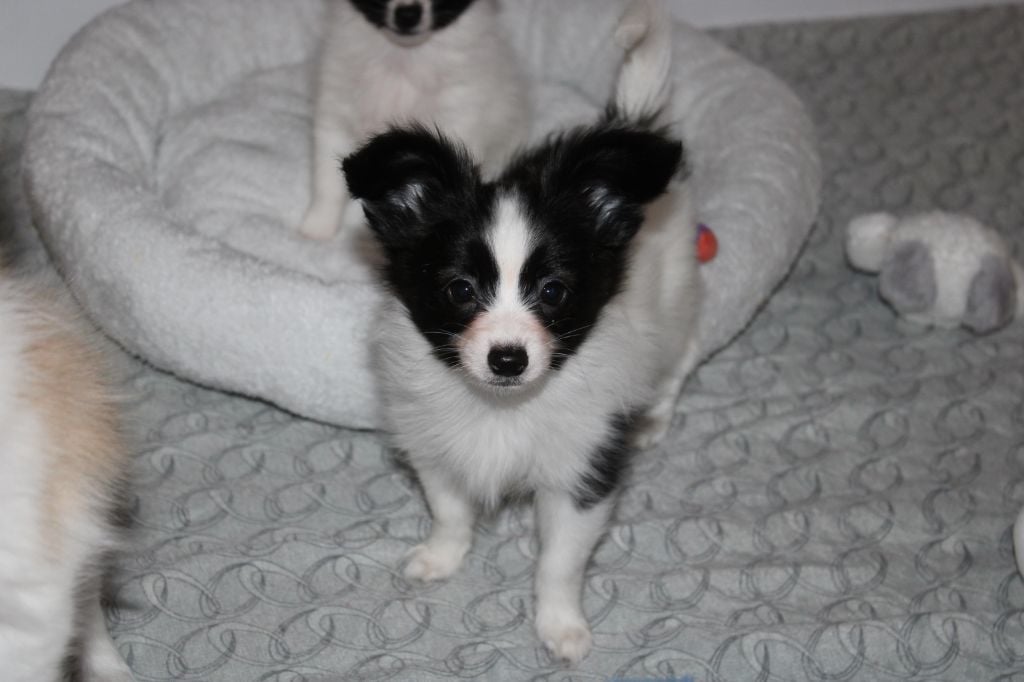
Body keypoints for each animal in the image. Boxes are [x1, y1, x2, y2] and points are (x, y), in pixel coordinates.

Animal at [298, 0, 529, 240]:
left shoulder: (458, 115)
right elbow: (327, 180)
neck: (403, 57)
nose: (408, 14)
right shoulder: (334, 113)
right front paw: (318, 226)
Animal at [343, 0, 698, 664]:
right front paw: (440, 558)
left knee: (678, 356)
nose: (507, 359)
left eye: (553, 292)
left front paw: (560, 626)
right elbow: (449, 509)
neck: (502, 409)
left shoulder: (581, 466)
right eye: (460, 290)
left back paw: (655, 417)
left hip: (678, 297)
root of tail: (631, 125)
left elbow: (560, 560)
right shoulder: (434, 443)